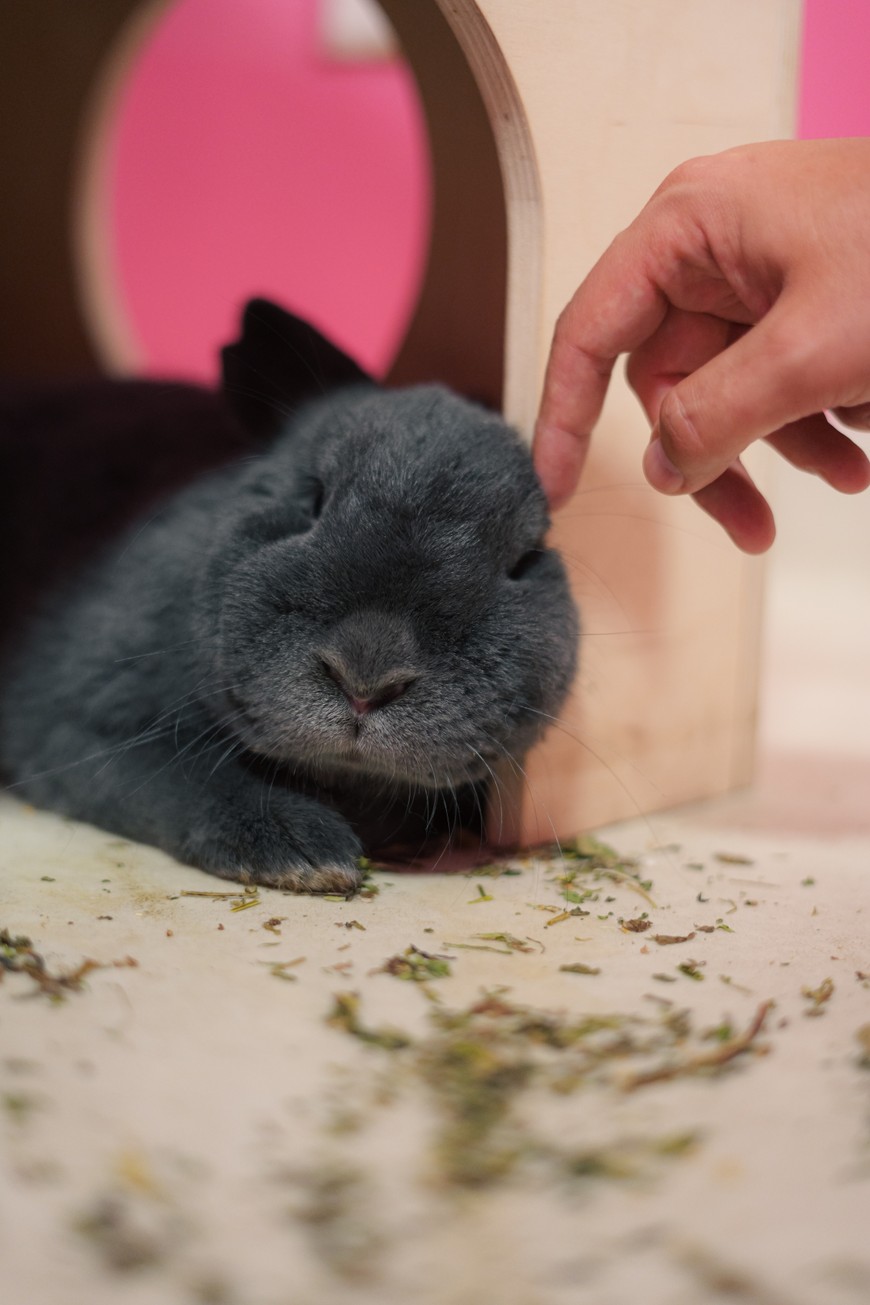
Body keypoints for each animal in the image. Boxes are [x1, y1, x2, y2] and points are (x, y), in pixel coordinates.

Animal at [0, 299, 579, 894]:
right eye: (312, 499)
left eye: (524, 558)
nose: (365, 681)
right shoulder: (71, 725)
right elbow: (176, 776)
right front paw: (302, 851)